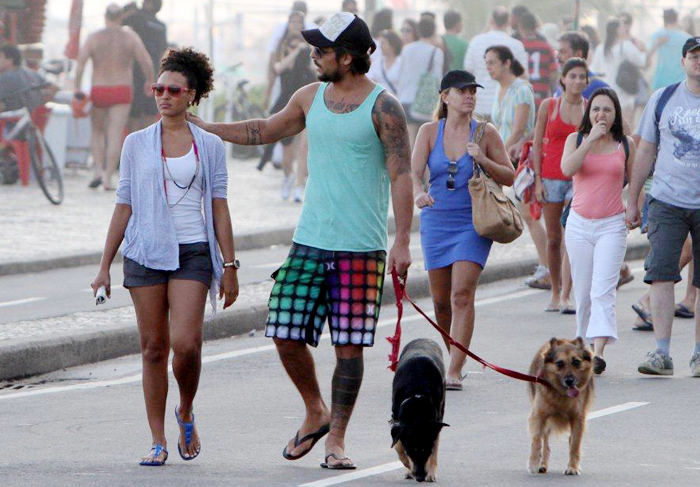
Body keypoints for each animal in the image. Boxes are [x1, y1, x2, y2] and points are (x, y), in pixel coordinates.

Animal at [392, 340, 446, 484]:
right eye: (411, 451)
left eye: (427, 451)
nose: (420, 478)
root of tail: (425, 339)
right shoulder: (396, 418)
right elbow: (398, 444)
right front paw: (406, 464)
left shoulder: (435, 423)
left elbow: (435, 449)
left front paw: (430, 473)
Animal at [528, 340, 592, 476]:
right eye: (559, 363)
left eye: (576, 362)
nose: (569, 381)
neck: (561, 393)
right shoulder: (539, 415)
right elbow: (536, 440)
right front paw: (534, 463)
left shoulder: (578, 418)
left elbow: (574, 445)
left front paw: (573, 467)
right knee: (545, 442)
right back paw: (542, 464)